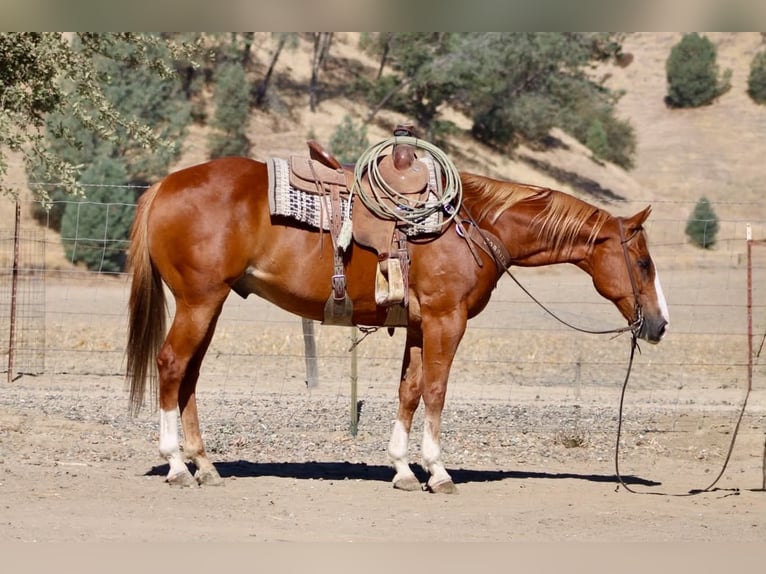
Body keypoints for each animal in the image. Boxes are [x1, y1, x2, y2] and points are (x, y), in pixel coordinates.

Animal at [126, 156, 669, 494]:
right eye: (643, 263)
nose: (660, 324)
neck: (471, 226)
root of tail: (165, 184)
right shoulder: (447, 321)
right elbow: (436, 391)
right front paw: (438, 471)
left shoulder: (419, 325)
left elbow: (409, 391)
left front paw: (404, 469)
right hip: (199, 301)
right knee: (171, 365)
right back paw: (175, 464)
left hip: (210, 304)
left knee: (189, 376)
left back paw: (204, 465)